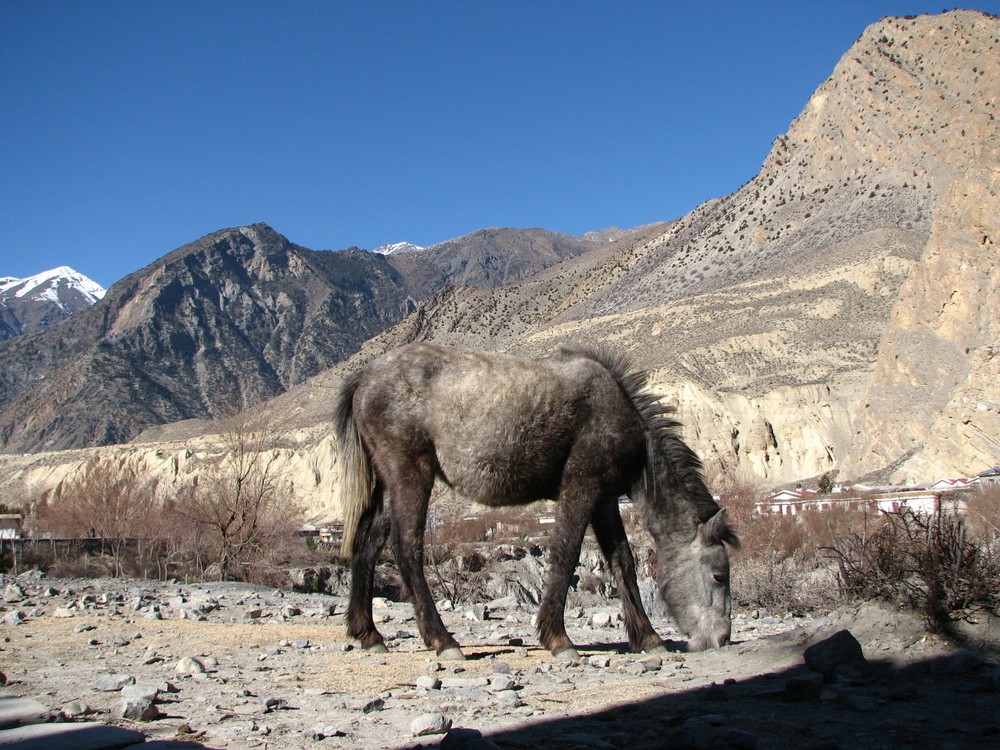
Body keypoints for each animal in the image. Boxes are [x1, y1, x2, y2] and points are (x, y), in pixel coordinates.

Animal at [334, 344, 736, 660]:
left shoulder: (605, 501)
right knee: (407, 548)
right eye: (719, 575)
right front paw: (558, 639)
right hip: (411, 475)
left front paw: (648, 638)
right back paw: (443, 640)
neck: (618, 411)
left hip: (390, 485)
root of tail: (364, 377)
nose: (721, 639)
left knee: (367, 544)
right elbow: (566, 555)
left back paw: (368, 634)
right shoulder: (581, 488)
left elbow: (623, 562)